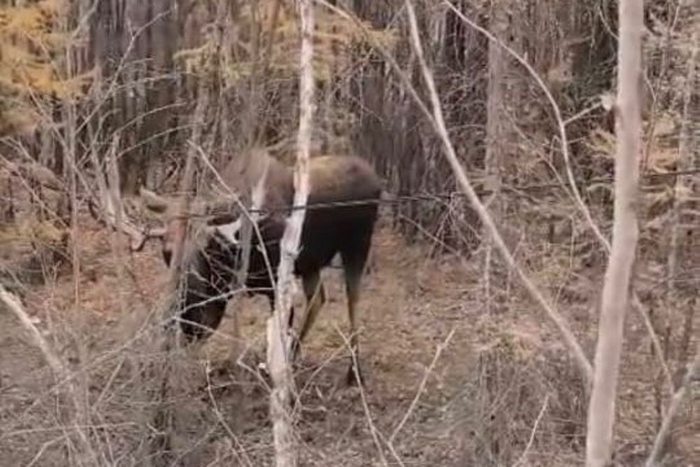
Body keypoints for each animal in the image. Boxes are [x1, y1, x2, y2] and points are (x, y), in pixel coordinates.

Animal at [131, 147, 382, 385]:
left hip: (357, 246)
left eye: (205, 246)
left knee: (353, 301)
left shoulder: (275, 284)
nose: (184, 296)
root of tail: (376, 179)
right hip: (311, 263)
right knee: (317, 299)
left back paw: (354, 371)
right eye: (167, 251)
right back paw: (296, 356)